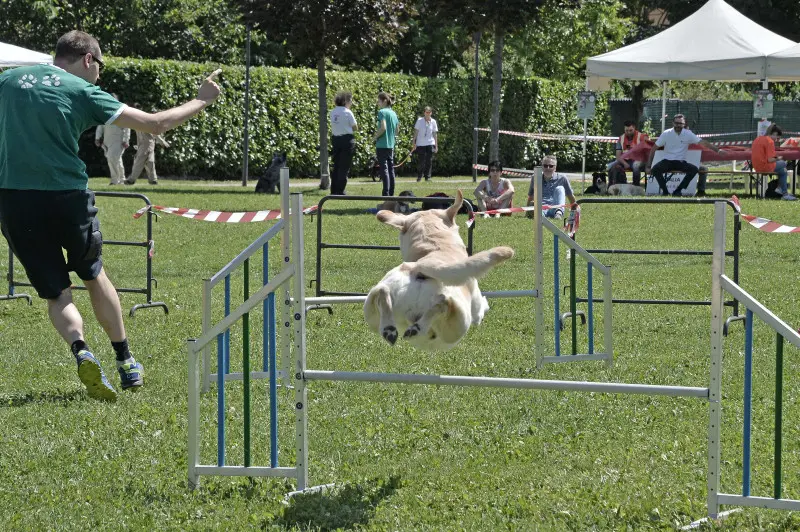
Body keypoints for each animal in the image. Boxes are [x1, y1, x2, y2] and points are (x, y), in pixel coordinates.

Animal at [366, 189, 516, 352]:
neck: (435, 247)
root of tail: (419, 268)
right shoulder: (476, 309)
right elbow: (482, 309)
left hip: (371, 309)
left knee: (382, 292)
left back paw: (390, 330)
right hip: (459, 323)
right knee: (443, 303)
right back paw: (416, 328)